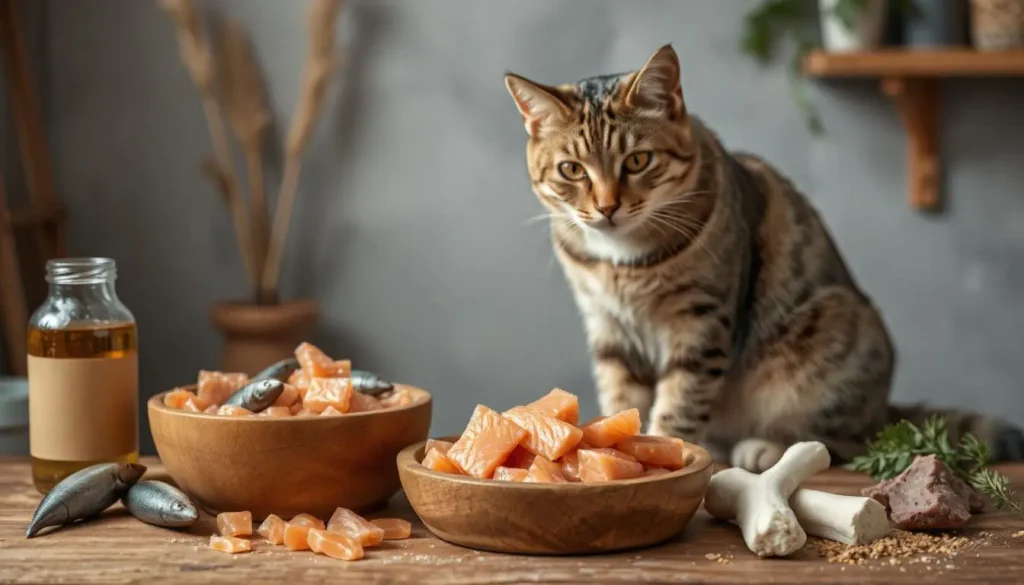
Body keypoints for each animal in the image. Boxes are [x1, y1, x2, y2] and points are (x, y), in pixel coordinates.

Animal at [505, 44, 1024, 471]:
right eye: (572, 170)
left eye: (637, 161)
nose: (607, 207)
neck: (621, 262)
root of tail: (884, 408)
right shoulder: (608, 326)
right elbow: (620, 399)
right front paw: (609, 444)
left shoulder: (700, 320)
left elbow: (680, 400)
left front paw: (665, 447)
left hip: (830, 334)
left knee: (844, 442)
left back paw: (764, 447)